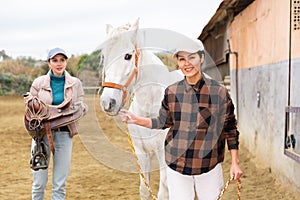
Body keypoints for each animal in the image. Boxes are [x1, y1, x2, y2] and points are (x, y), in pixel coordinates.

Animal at [99, 18, 183, 198]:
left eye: (128, 56)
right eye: (105, 57)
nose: (107, 102)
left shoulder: (164, 157)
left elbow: (163, 193)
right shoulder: (141, 153)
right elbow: (144, 190)